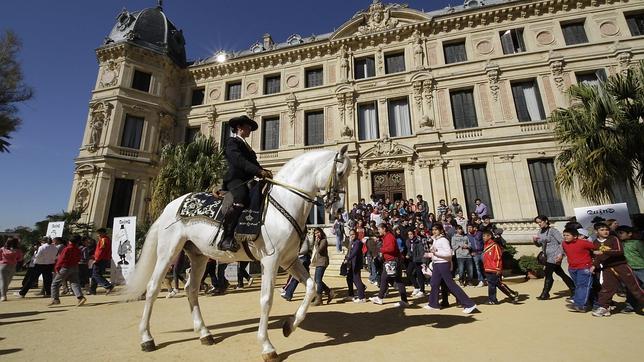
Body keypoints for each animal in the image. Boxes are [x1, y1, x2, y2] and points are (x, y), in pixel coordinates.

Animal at [122, 146, 350, 360]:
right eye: (340, 173)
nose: (339, 211)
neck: (284, 202)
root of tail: (170, 205)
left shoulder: (289, 260)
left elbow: (311, 286)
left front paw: (289, 326)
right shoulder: (271, 260)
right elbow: (266, 299)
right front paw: (267, 346)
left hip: (198, 256)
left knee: (191, 289)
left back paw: (204, 333)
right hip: (168, 252)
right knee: (153, 287)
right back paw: (146, 338)